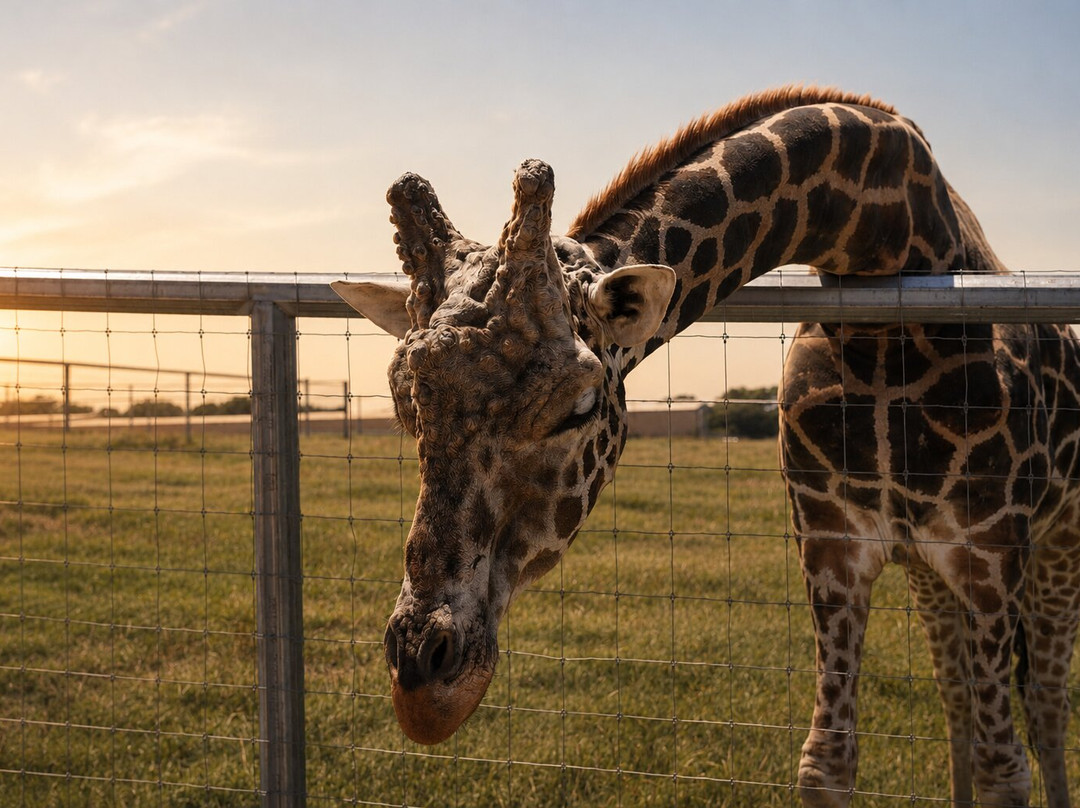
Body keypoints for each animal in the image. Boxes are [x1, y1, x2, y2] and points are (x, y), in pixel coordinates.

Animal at [333, 86, 1080, 807]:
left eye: (578, 406)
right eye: (404, 402)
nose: (423, 681)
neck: (887, 274)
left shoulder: (987, 552)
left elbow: (1005, 769)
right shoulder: (833, 544)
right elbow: (826, 763)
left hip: (1052, 547)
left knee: (1043, 700)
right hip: (929, 572)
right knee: (955, 693)